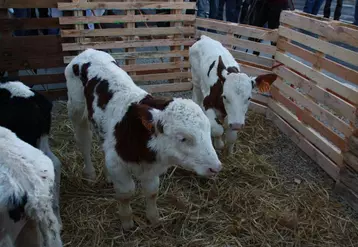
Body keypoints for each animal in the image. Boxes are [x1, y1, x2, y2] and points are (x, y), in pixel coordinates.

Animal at [64, 48, 221, 230]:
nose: (216, 167)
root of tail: (88, 51)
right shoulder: (118, 164)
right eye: (183, 138)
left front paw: (154, 218)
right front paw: (127, 222)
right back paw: (89, 174)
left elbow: (152, 191)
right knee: (84, 141)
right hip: (75, 109)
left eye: (208, 132)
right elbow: (126, 192)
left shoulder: (150, 168)